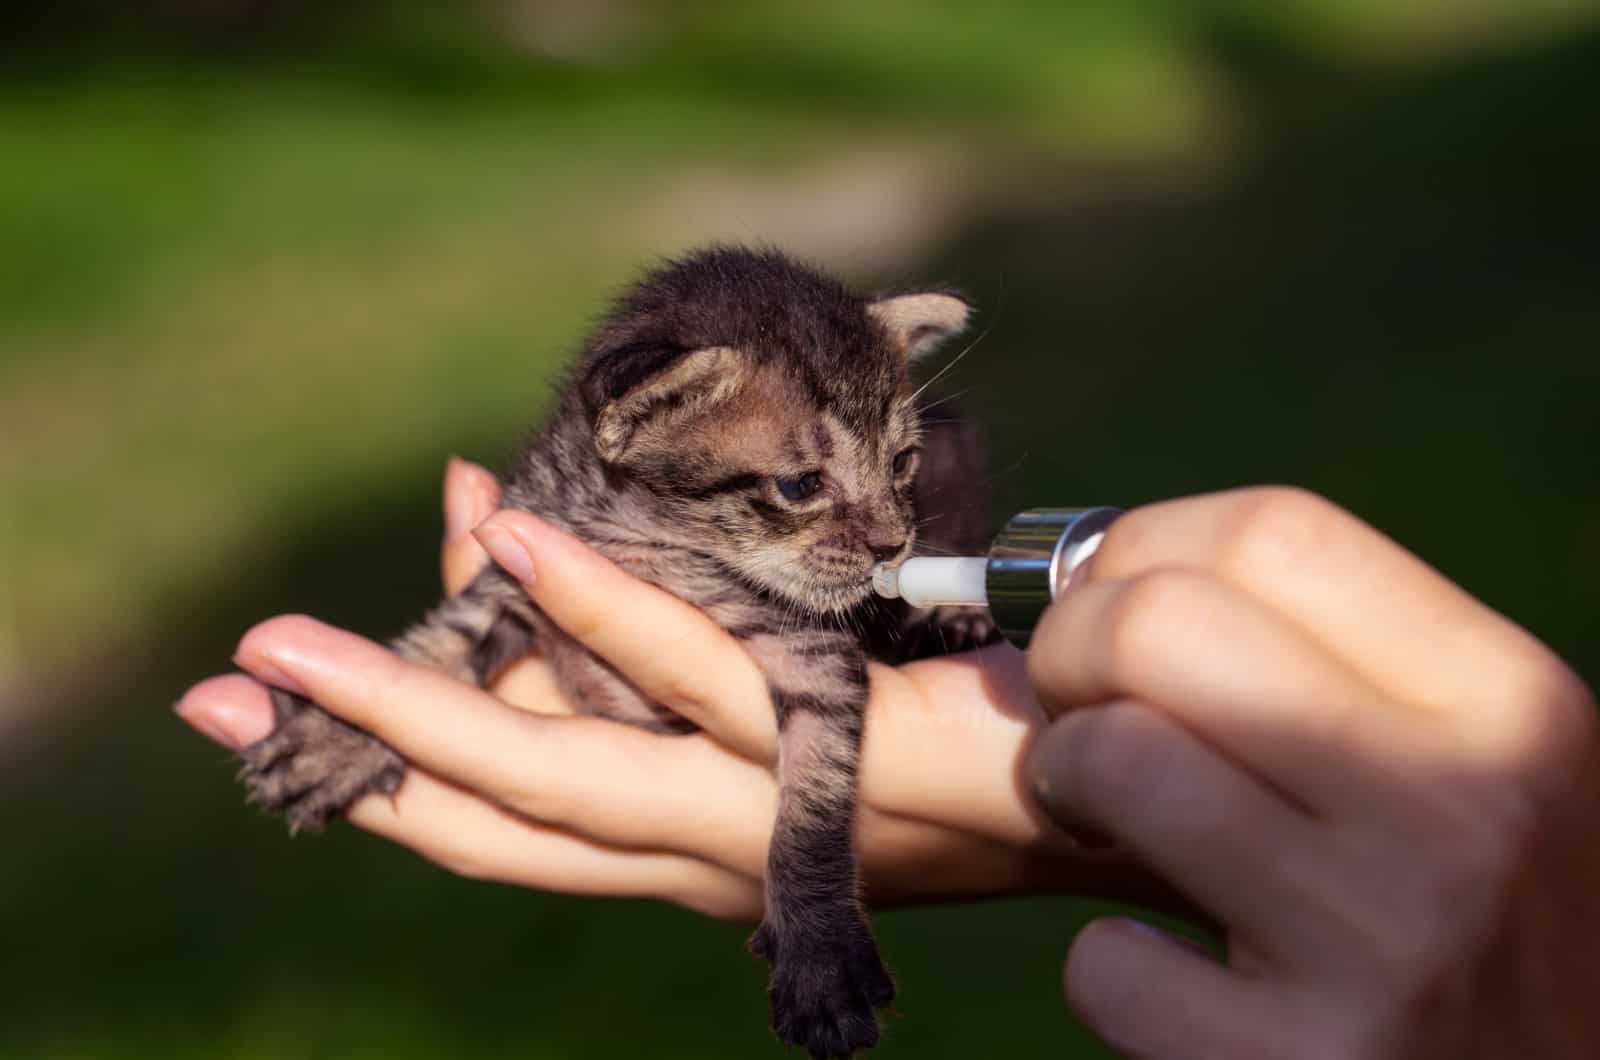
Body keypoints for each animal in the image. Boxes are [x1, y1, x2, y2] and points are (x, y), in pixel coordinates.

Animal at [235, 244, 992, 1056]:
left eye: (902, 464)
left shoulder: (814, 653)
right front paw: (333, 740)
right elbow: (441, 641)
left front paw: (821, 955)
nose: (893, 543)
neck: (644, 534)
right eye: (799, 485)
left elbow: (814, 801)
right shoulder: (524, 558)